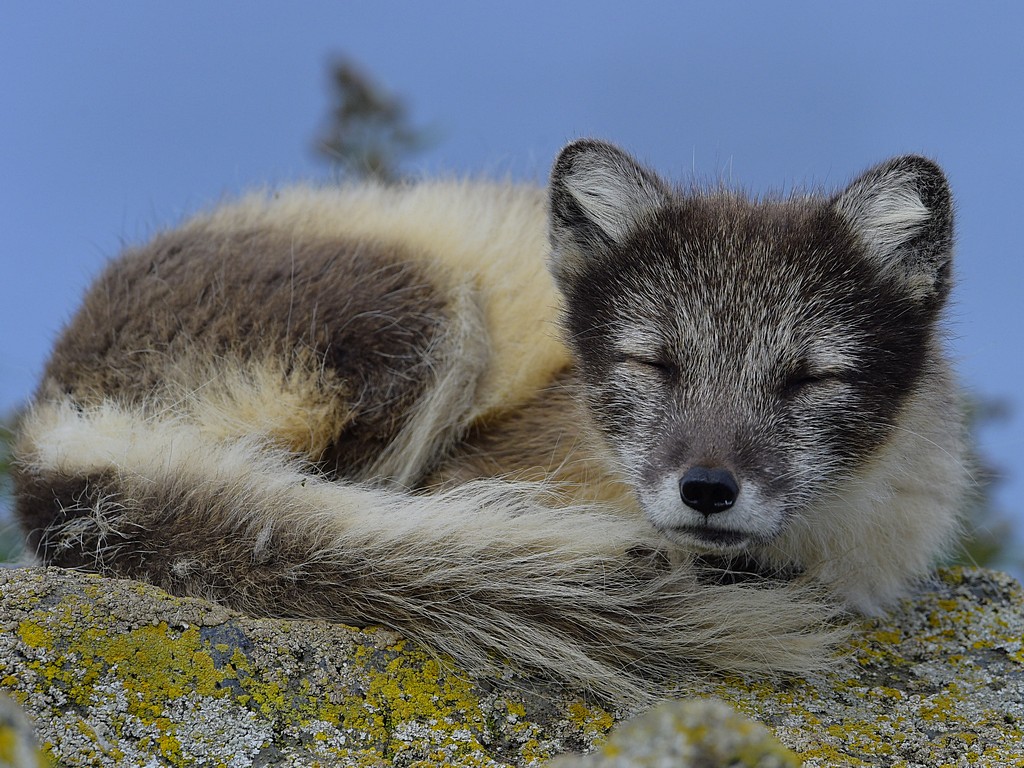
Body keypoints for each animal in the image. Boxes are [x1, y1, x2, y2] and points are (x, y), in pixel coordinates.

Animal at [12, 140, 962, 704]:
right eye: (653, 362)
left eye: (810, 377)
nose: (707, 489)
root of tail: (55, 414)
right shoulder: (479, 464)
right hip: (422, 318)